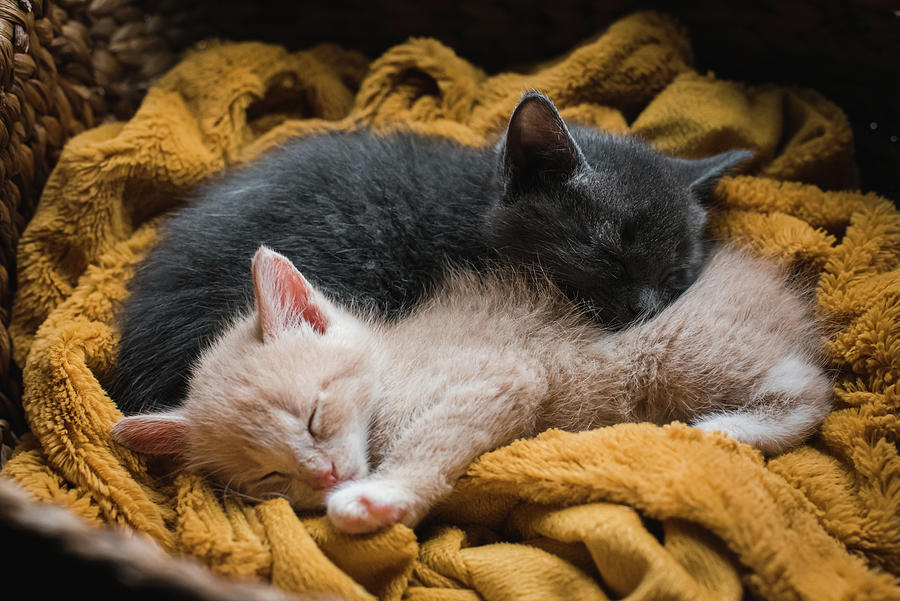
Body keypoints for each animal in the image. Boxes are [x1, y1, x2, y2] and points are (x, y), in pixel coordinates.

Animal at [114, 246, 836, 532]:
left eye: (315, 414)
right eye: (267, 476)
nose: (323, 476)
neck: (390, 366)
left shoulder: (502, 375)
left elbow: (432, 446)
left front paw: (377, 498)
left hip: (680, 352)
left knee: (812, 386)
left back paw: (728, 429)